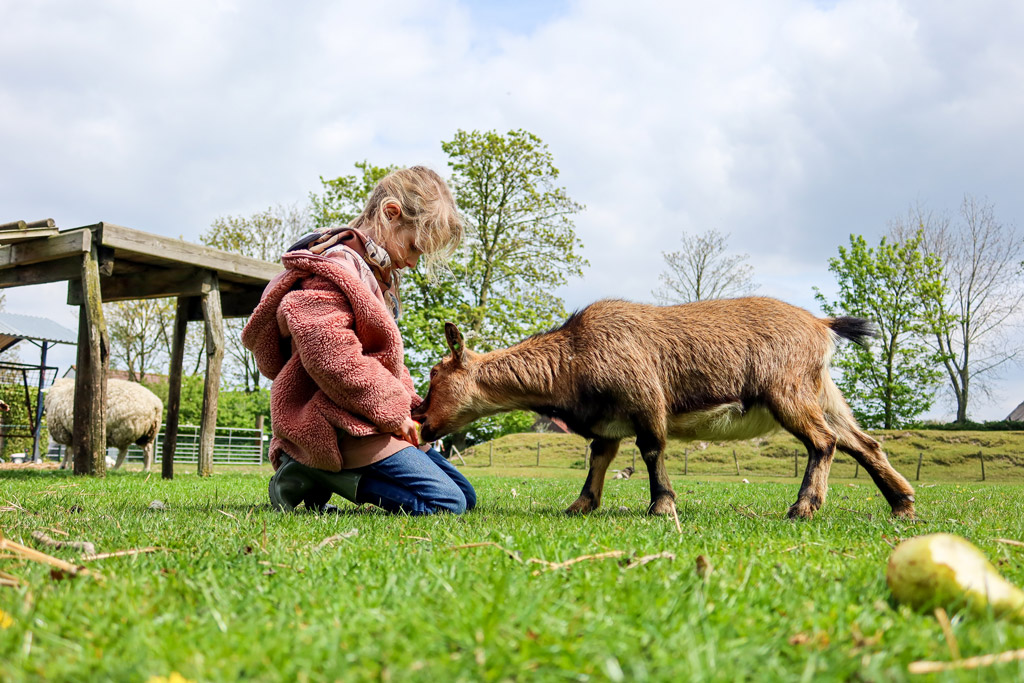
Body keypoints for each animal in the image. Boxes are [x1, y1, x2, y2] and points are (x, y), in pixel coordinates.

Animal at [415, 296, 921, 518]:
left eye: (435, 375)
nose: (419, 421)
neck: (575, 353)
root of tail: (821, 324)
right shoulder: (608, 422)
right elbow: (600, 459)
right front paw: (580, 505)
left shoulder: (645, 399)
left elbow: (652, 449)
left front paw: (661, 505)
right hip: (822, 391)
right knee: (864, 442)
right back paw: (902, 504)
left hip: (787, 390)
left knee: (824, 441)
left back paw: (804, 507)